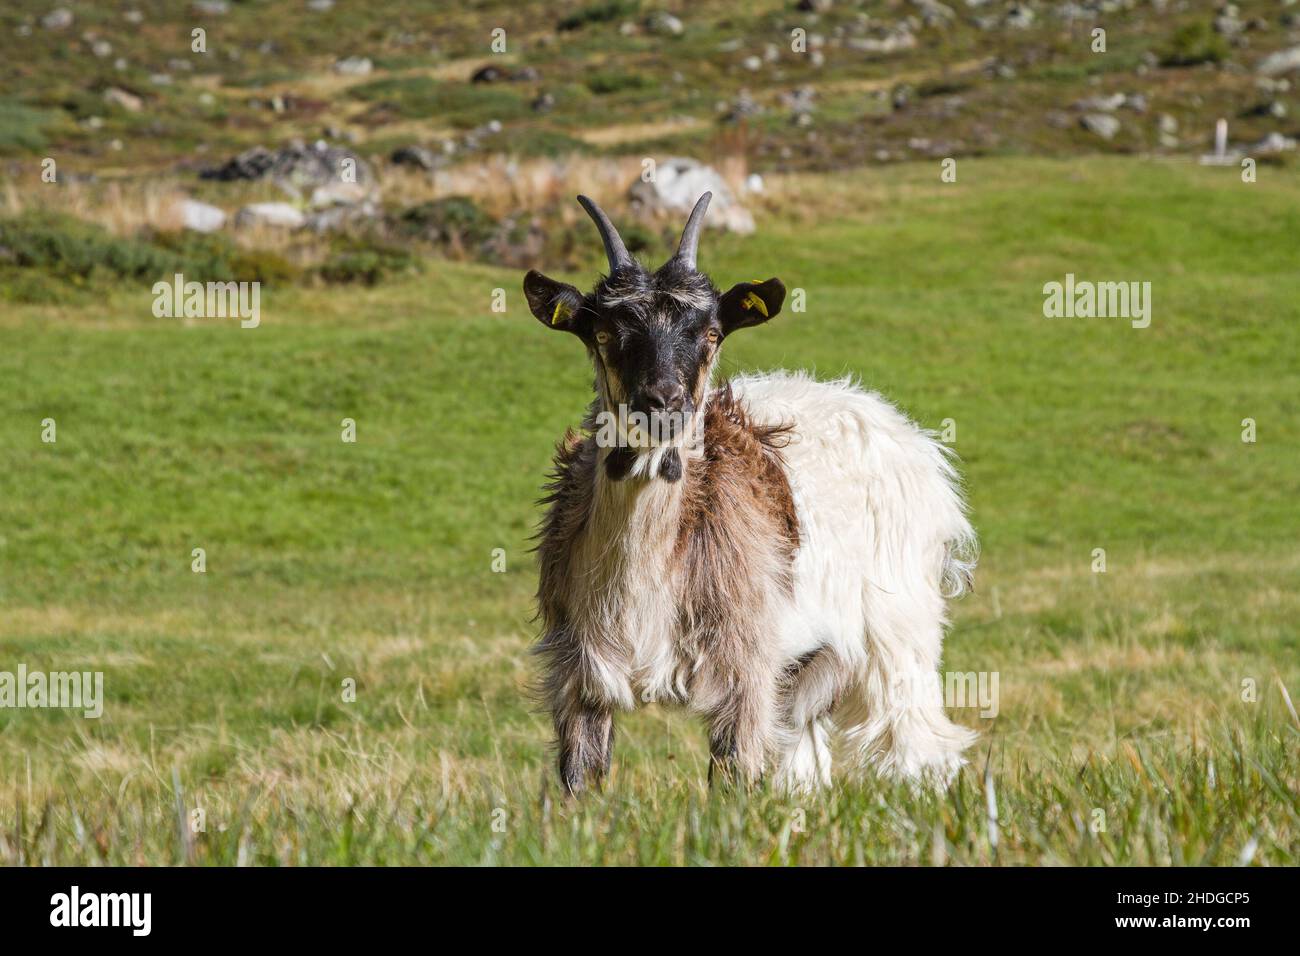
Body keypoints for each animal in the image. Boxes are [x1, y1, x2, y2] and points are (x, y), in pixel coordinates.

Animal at [523, 193, 977, 794]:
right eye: (602, 334)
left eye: (712, 333)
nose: (663, 402)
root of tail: (914, 441)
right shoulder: (579, 671)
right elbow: (581, 780)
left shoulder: (745, 663)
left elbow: (734, 774)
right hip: (810, 666)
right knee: (802, 751)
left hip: (899, 628)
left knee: (917, 740)